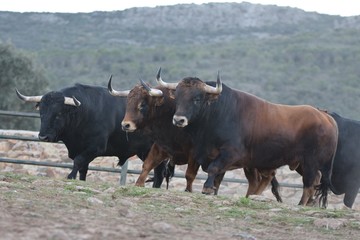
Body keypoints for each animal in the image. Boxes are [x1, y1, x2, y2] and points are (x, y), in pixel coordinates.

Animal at [15, 82, 169, 186]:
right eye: (41, 113)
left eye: (58, 114)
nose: (43, 137)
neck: (85, 111)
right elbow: (83, 168)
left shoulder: (95, 148)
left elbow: (78, 161)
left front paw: (70, 176)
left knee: (159, 172)